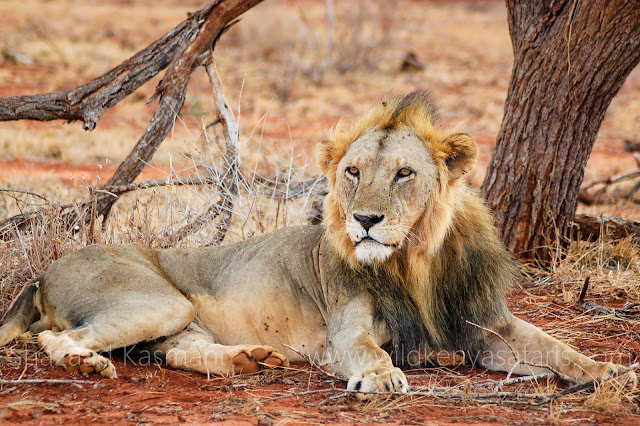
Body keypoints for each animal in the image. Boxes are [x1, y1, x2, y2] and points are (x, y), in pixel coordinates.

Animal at [0, 89, 636, 396]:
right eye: (353, 172)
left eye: (403, 174)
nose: (366, 220)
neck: (414, 264)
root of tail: (44, 271)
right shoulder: (345, 330)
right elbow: (368, 350)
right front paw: (381, 378)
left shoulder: (487, 325)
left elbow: (557, 348)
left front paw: (609, 372)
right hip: (158, 301)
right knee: (55, 339)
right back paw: (85, 366)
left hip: (177, 321)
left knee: (179, 351)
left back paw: (250, 360)